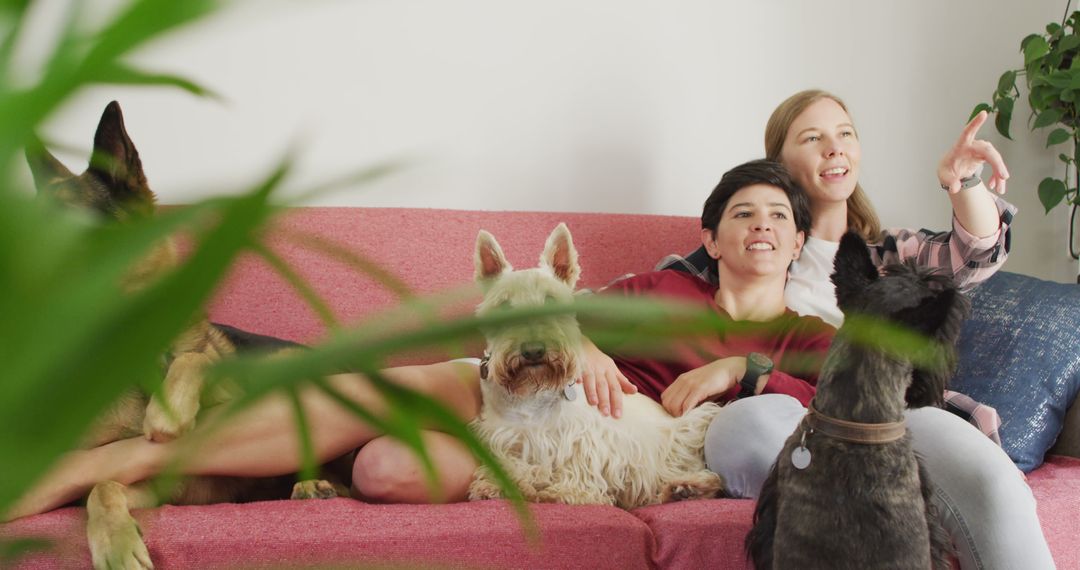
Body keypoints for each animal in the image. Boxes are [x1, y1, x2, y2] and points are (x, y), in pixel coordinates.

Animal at [468, 221, 721, 507]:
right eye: (504, 306)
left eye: (551, 302)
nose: (533, 351)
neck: (532, 393)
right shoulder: (503, 436)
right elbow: (511, 464)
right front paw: (498, 484)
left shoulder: (585, 435)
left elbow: (578, 464)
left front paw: (568, 492)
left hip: (687, 428)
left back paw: (689, 486)